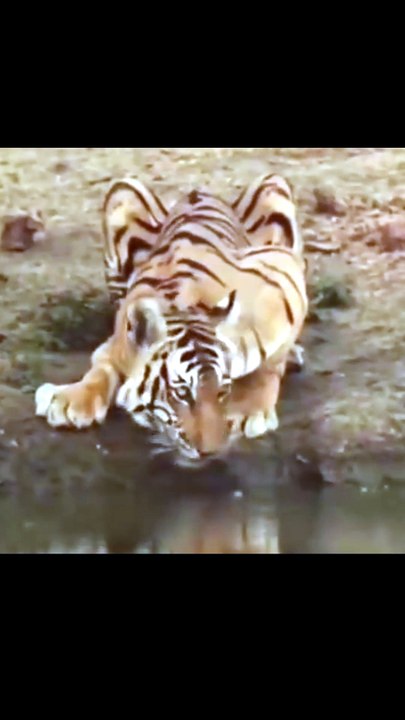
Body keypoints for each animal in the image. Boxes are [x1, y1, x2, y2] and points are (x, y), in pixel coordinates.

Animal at [35, 173, 308, 465]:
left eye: (222, 391)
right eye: (182, 393)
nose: (210, 452)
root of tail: (199, 191)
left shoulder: (282, 277)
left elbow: (271, 361)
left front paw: (248, 411)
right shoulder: (121, 341)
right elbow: (101, 363)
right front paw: (71, 399)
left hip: (273, 186)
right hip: (122, 192)